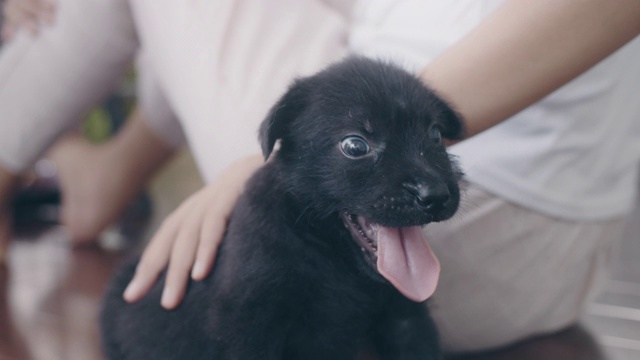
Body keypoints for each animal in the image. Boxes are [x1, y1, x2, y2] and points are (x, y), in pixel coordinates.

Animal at [100, 57, 462, 360]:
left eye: (435, 134)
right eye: (355, 145)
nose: (434, 195)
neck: (332, 260)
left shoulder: (407, 319)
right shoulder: (248, 327)